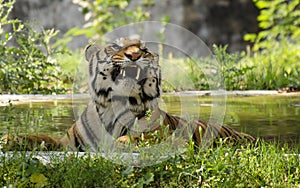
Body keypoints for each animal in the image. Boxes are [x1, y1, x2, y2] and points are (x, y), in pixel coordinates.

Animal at [0, 37, 254, 151]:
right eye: (115, 47)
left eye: (144, 50)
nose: (135, 55)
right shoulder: (68, 144)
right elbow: (41, 137)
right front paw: (10, 139)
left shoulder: (161, 135)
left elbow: (144, 136)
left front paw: (122, 142)